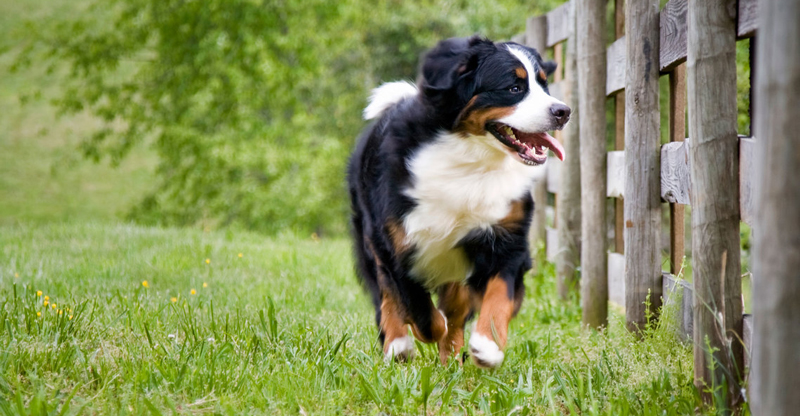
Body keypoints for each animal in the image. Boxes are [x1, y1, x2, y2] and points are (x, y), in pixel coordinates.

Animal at [346, 35, 568, 368]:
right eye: (514, 88)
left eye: (545, 85)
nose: (563, 111)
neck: (472, 161)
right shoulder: (398, 244)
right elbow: (420, 311)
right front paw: (423, 333)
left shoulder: (507, 238)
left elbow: (499, 294)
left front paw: (488, 345)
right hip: (371, 241)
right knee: (386, 294)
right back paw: (398, 345)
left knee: (456, 306)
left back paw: (450, 357)